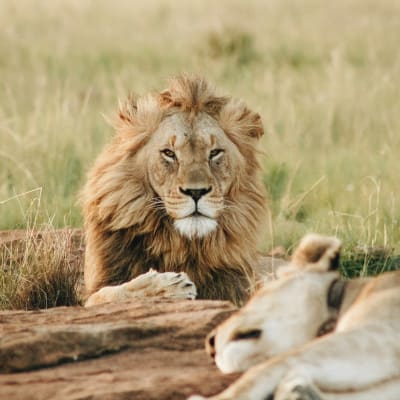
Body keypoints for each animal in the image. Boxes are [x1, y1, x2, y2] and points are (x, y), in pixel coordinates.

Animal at [80, 75, 276, 306]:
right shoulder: (95, 292)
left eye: (215, 153)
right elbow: (110, 294)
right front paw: (169, 286)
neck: (182, 245)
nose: (196, 192)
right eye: (169, 153)